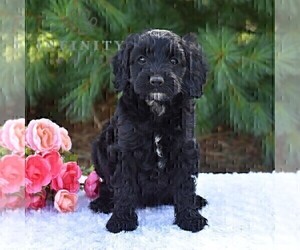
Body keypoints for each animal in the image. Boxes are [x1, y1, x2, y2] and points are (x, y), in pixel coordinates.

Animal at [89, 29, 209, 234]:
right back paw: (103, 203)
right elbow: (124, 185)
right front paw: (122, 220)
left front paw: (190, 218)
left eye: (174, 60)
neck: (156, 109)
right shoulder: (125, 150)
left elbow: (185, 186)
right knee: (106, 186)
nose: (156, 81)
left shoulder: (185, 149)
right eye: (142, 59)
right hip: (99, 148)